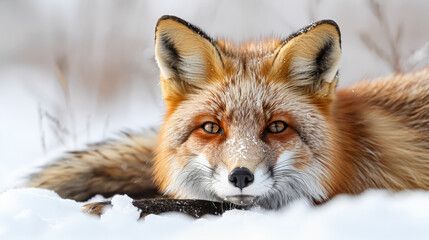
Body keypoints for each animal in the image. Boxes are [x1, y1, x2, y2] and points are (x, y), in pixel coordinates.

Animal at [26, 15, 428, 210]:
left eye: (276, 127)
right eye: (211, 127)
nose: (241, 176)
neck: (351, 149)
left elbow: (196, 207)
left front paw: (104, 207)